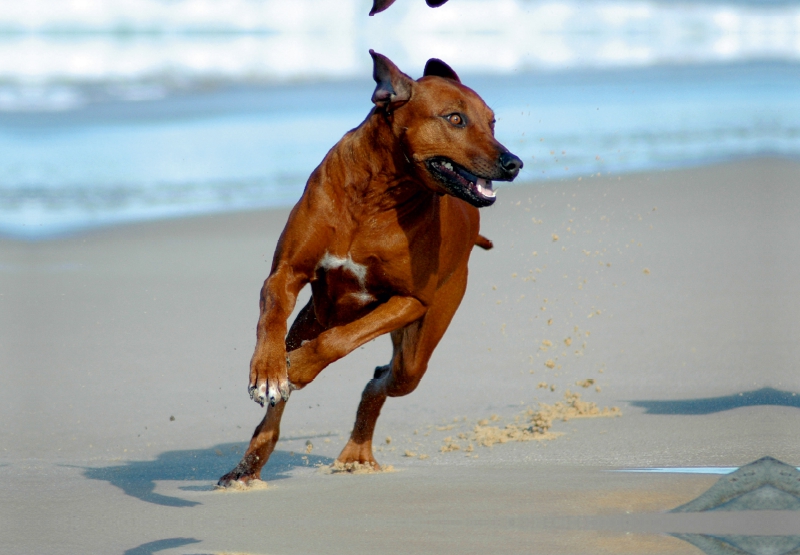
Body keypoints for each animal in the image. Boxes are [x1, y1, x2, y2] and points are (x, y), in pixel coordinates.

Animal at [217, 51, 524, 486]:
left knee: (381, 378)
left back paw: (355, 452)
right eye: (455, 119)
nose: (514, 163)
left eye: (492, 122)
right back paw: (249, 464)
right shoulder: (287, 272)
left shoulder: (411, 301)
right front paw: (268, 371)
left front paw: (299, 368)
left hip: (419, 347)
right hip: (314, 316)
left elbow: (338, 343)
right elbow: (272, 314)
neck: (375, 196)